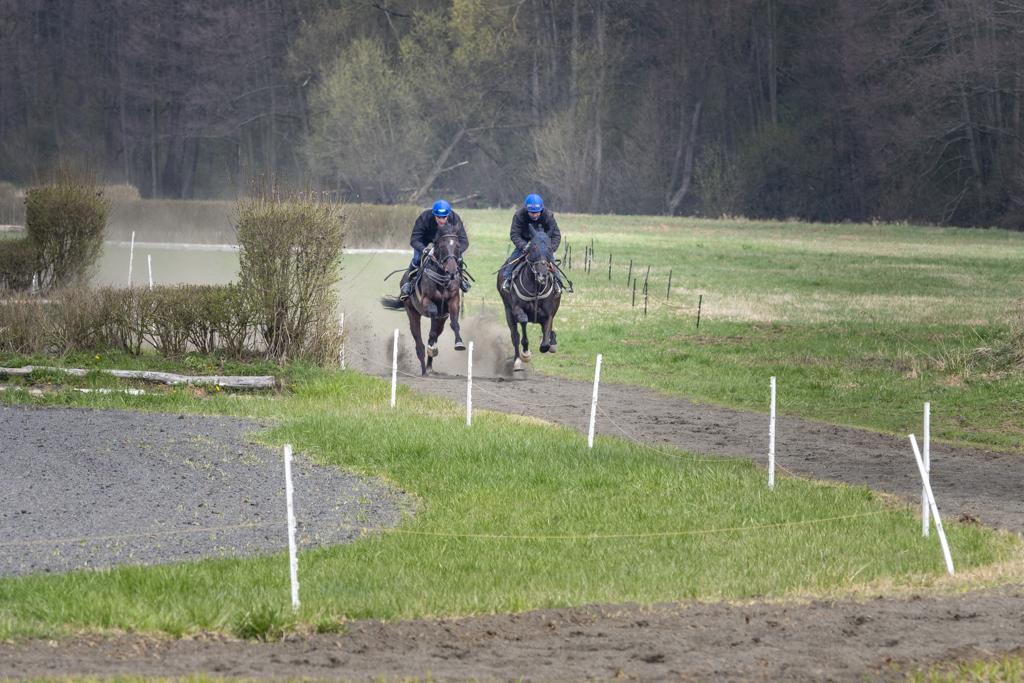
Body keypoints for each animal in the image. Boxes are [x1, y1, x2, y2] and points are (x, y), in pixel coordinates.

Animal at [382, 224, 466, 374]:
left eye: (457, 246)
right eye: (442, 246)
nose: (451, 271)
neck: (442, 281)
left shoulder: (453, 301)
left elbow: (454, 323)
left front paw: (459, 343)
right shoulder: (426, 301)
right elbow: (432, 316)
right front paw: (432, 344)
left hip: (441, 318)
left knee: (435, 333)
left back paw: (429, 364)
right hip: (412, 312)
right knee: (419, 342)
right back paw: (424, 369)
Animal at [495, 227, 561, 370]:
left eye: (549, 247)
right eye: (533, 246)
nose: (542, 274)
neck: (536, 288)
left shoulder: (549, 314)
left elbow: (545, 341)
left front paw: (549, 343)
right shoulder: (517, 309)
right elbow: (523, 323)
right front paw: (525, 354)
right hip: (508, 311)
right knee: (514, 335)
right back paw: (517, 360)